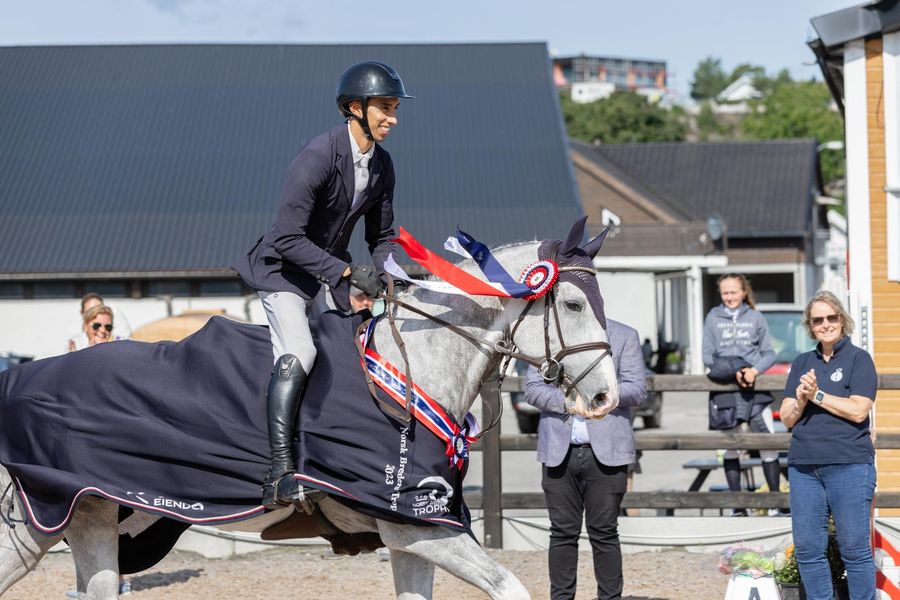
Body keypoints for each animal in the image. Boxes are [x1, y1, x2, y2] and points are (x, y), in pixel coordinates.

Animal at [0, 220, 618, 600]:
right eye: (572, 303)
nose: (607, 398)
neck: (409, 369)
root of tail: (19, 376)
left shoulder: (414, 536)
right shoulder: (417, 527)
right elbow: (512, 587)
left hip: (91, 517)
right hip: (44, 520)